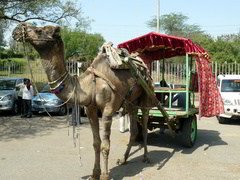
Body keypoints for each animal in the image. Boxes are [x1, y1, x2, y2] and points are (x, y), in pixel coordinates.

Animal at [11, 22, 154, 180]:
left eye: (39, 30)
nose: (17, 29)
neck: (90, 85)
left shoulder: (108, 110)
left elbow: (105, 145)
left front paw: (105, 175)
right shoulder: (91, 110)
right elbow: (96, 143)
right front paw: (94, 174)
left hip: (146, 96)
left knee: (145, 124)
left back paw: (146, 157)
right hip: (130, 102)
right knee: (134, 129)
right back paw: (123, 159)